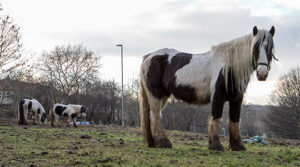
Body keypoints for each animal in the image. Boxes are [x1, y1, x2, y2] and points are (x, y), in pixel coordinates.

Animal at [139, 26, 278, 151]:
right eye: (255, 47)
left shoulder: (236, 99)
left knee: (151, 116)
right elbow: (216, 119)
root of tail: (149, 56)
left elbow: (234, 121)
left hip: (162, 96)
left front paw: (237, 146)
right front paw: (215, 146)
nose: (262, 73)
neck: (229, 66)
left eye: (270, 48)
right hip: (155, 95)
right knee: (156, 116)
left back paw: (153, 142)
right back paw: (164, 142)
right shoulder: (218, 96)